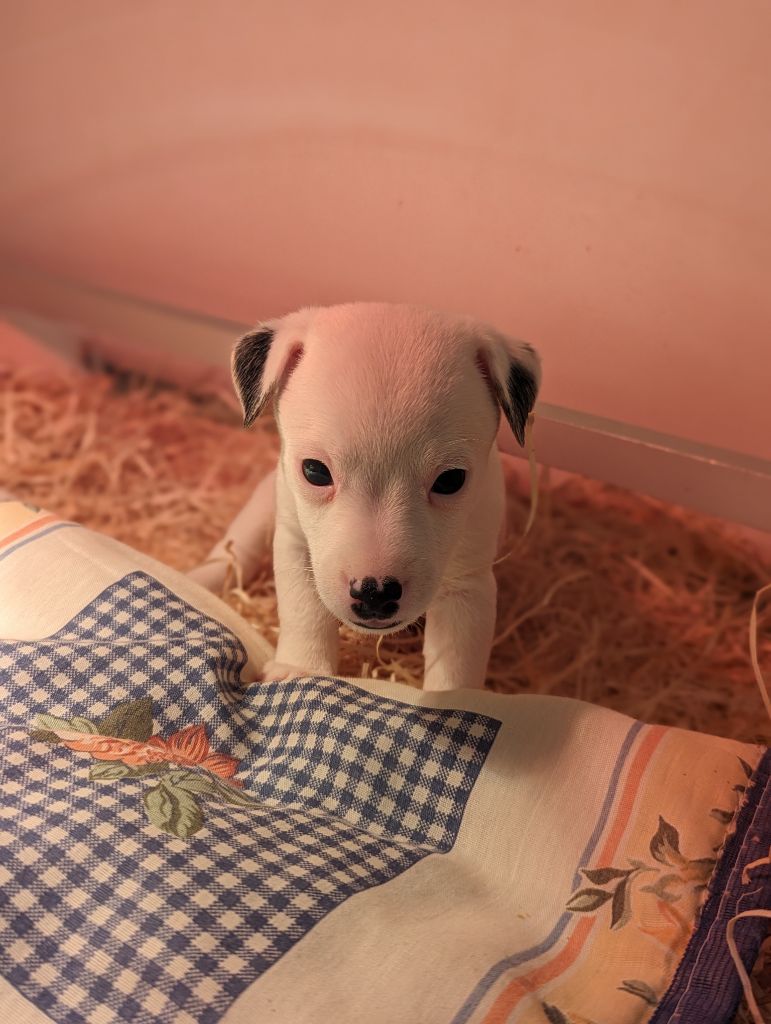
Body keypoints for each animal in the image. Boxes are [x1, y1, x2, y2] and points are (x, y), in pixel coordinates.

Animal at [188, 299, 536, 692]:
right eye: (315, 471)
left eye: (451, 480)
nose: (375, 593)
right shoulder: (294, 543)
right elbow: (303, 608)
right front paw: (300, 668)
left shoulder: (468, 580)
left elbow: (457, 655)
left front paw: (455, 698)